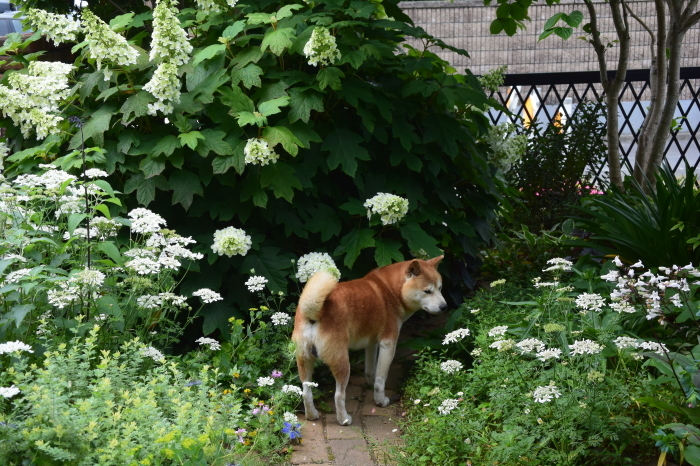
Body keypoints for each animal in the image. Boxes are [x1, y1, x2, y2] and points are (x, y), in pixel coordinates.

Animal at [292, 255, 448, 426]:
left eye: (440, 288)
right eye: (427, 291)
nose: (444, 307)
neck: (390, 290)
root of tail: (314, 313)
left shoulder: (371, 343)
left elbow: (370, 370)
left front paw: (370, 383)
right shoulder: (388, 343)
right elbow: (381, 379)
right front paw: (380, 400)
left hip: (304, 360)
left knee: (306, 392)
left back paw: (311, 415)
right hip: (342, 363)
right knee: (339, 395)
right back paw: (344, 419)